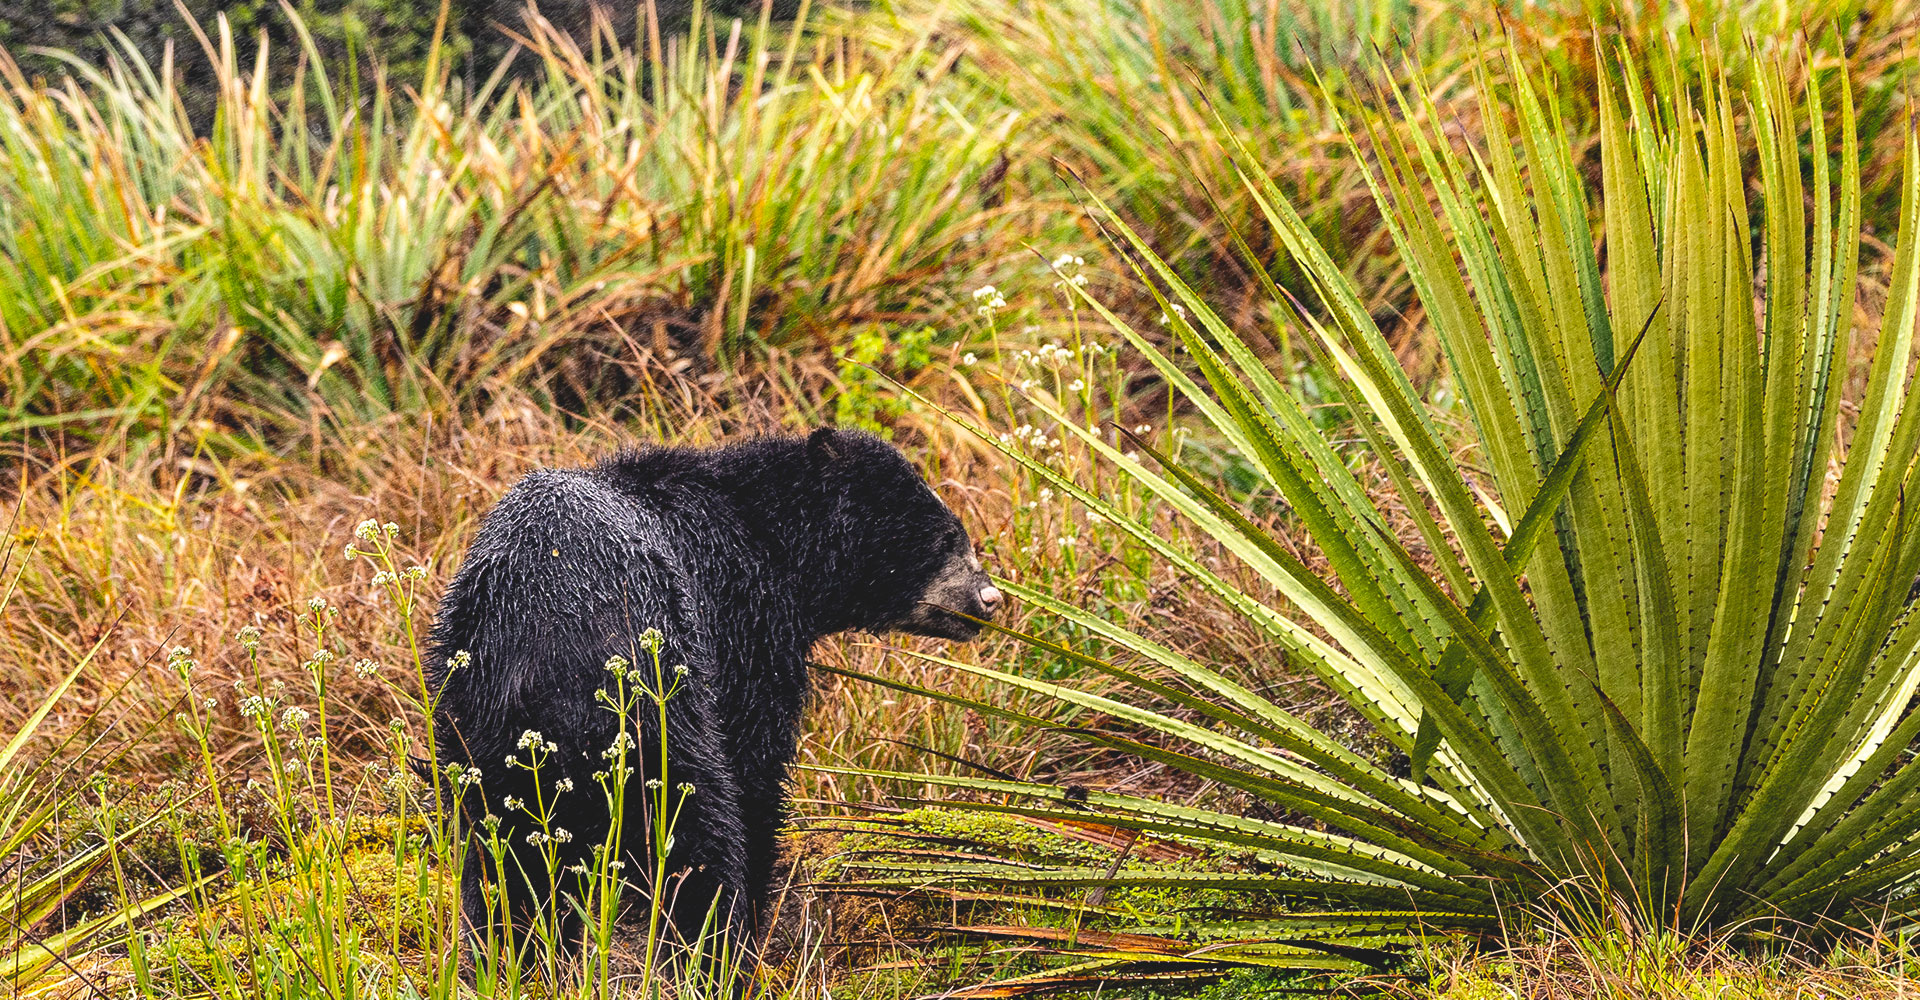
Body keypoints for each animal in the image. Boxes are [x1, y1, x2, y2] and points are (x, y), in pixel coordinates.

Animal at [428, 426, 1006, 952]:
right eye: (946, 538)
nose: (991, 599)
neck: (772, 541)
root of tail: (542, 658)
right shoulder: (743, 622)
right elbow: (755, 759)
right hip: (658, 720)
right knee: (696, 839)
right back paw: (715, 948)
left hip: (475, 740)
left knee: (500, 869)